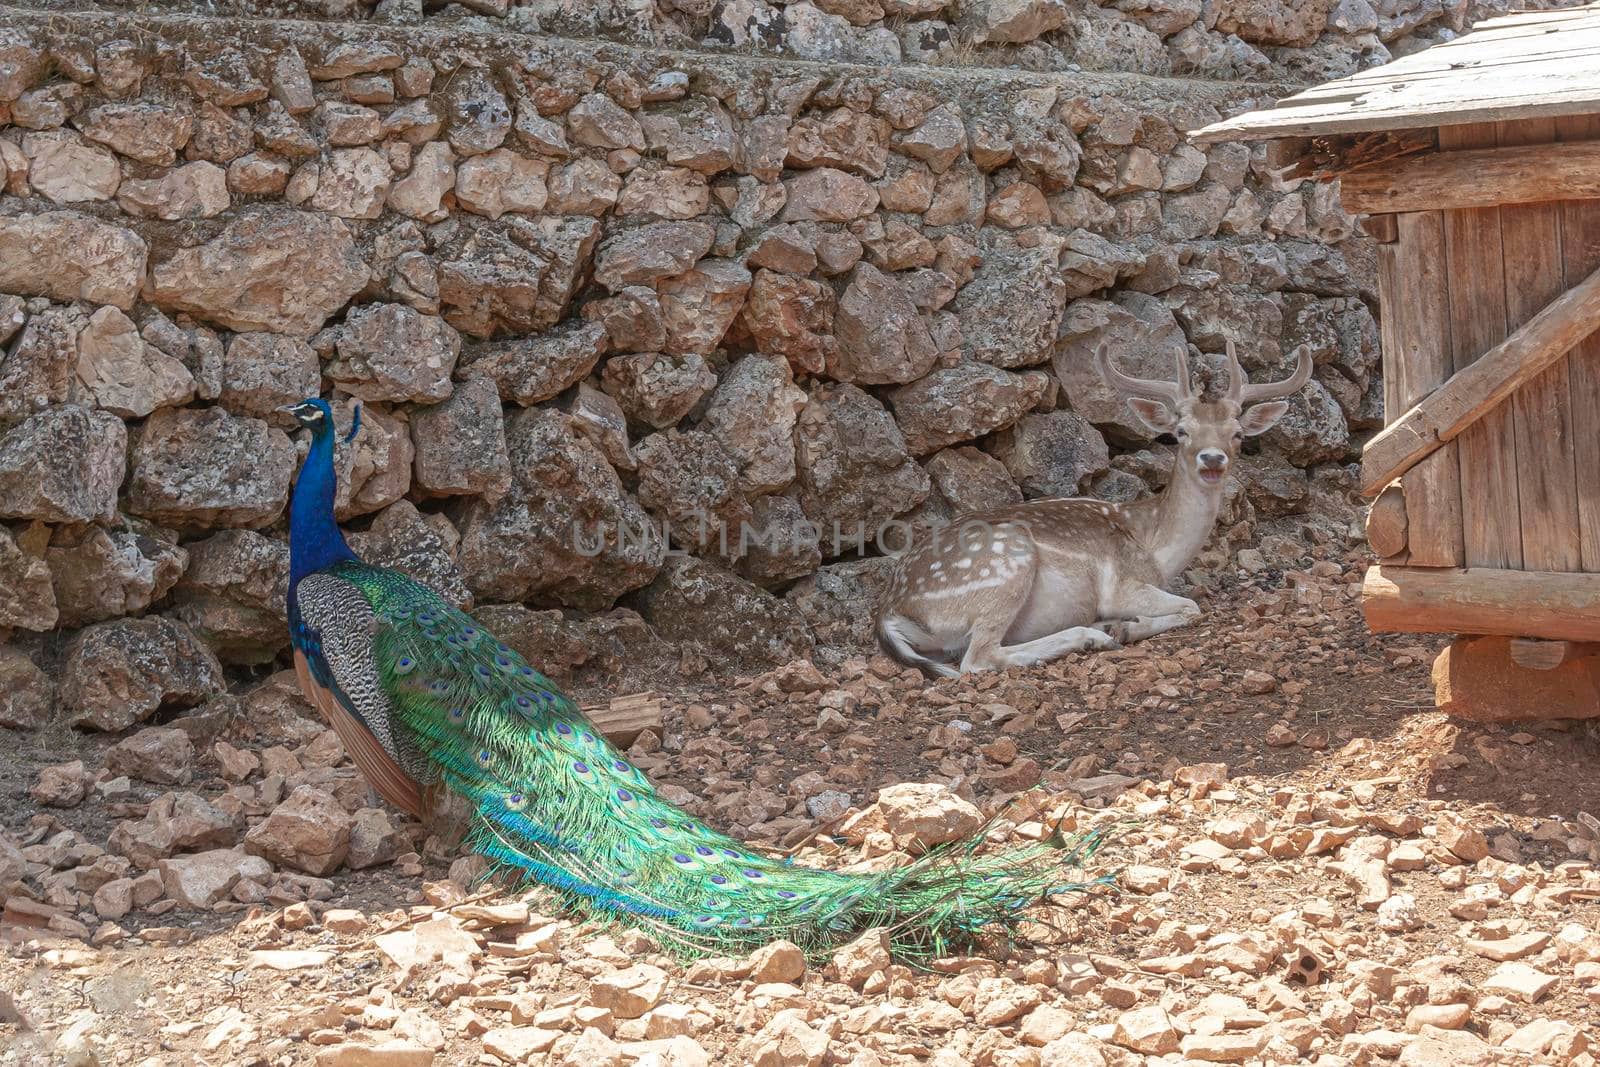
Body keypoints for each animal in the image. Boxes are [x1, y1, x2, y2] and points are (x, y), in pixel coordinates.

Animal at [876, 342, 1312, 675]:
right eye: (1180, 432)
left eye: (1236, 434)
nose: (1212, 459)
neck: (1155, 548)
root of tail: (890, 612)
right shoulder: (1122, 585)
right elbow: (1192, 606)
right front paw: (1127, 627)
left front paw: (1125, 625)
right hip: (1006, 566)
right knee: (977, 659)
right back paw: (1094, 635)